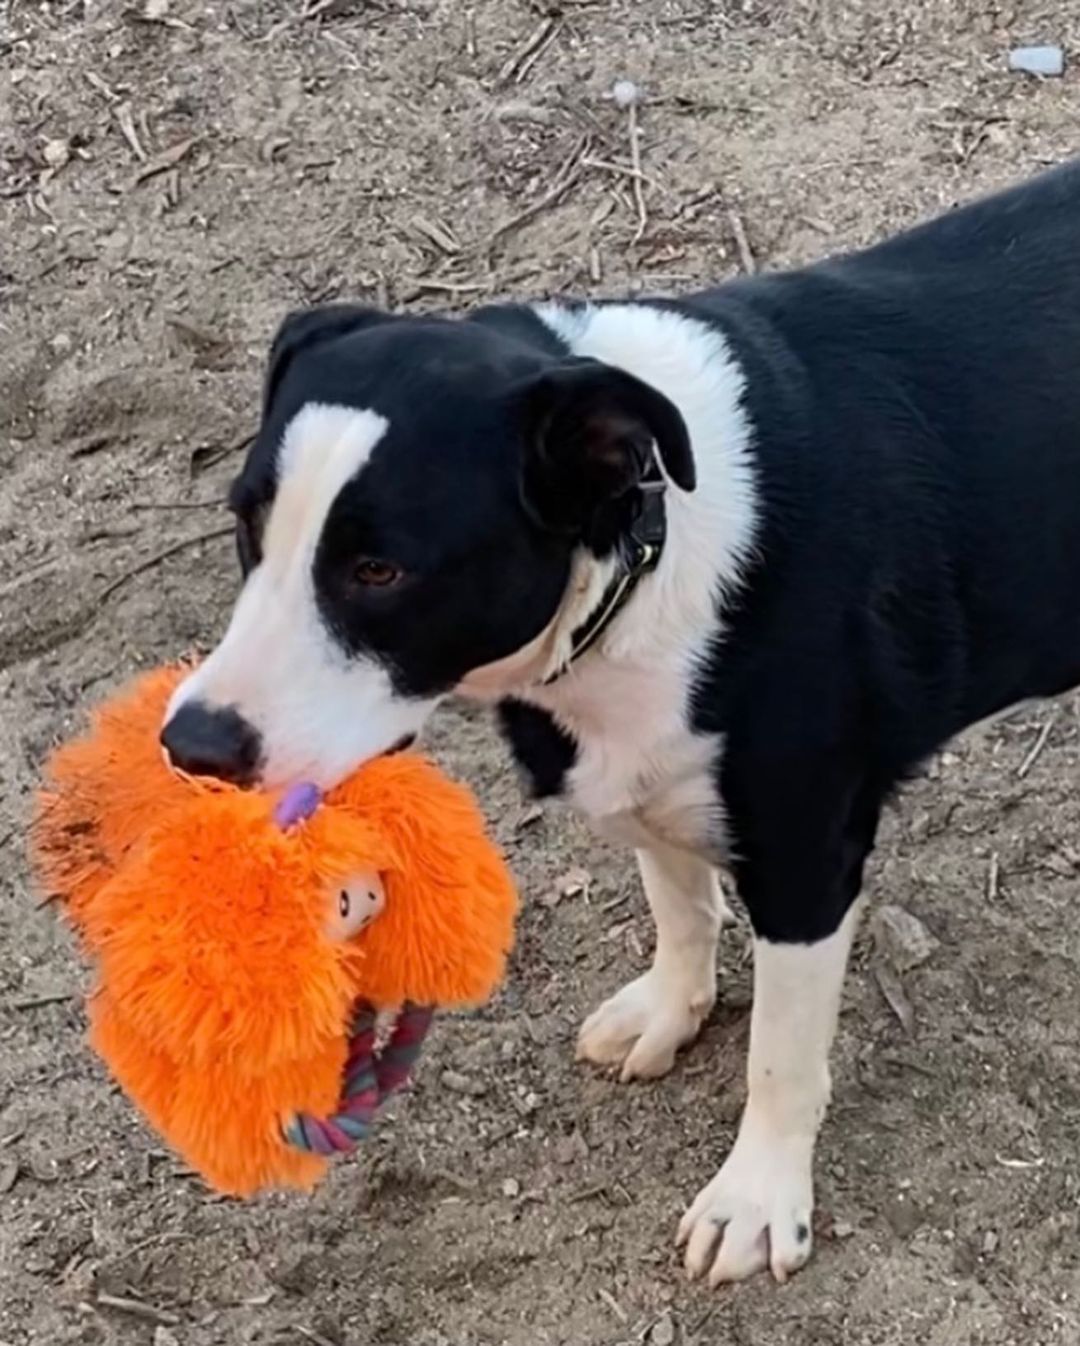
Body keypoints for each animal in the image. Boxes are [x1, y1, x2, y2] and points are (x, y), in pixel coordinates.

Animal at [160, 157, 1080, 1281]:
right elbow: (677, 905)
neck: (643, 541)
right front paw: (670, 1012)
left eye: (381, 569)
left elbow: (780, 1052)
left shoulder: (806, 856)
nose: (192, 745)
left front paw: (757, 1197)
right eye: (246, 522)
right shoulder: (641, 764)